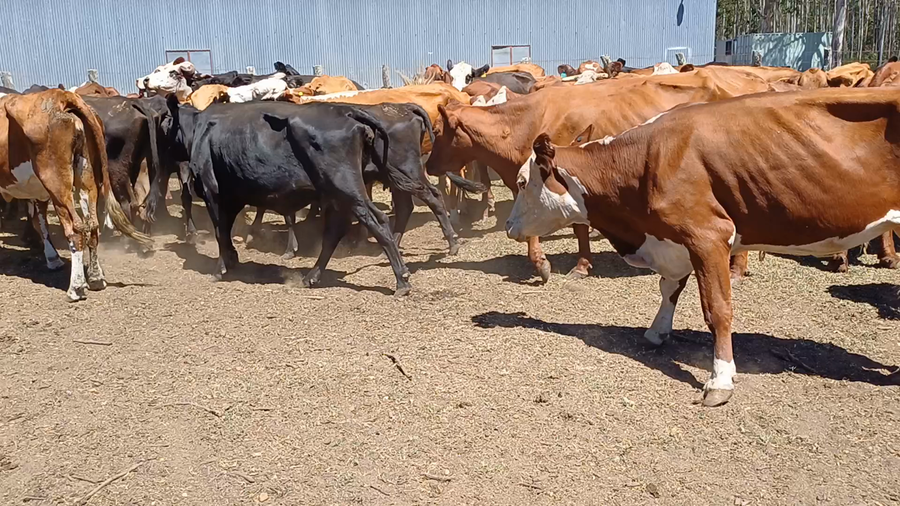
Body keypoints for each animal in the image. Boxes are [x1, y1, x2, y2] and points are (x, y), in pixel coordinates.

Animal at [0, 90, 152, 300]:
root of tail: (63, 96)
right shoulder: (37, 192)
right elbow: (40, 222)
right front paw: (52, 258)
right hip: (87, 176)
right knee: (93, 225)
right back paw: (96, 277)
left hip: (57, 182)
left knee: (76, 229)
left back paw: (76, 287)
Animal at [160, 98, 412, 295]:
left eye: (166, 122)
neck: (201, 131)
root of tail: (346, 111)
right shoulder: (232, 197)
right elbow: (226, 230)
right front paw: (232, 258)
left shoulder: (212, 191)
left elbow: (220, 231)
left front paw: (220, 269)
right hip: (336, 194)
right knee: (334, 231)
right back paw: (311, 276)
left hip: (346, 188)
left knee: (377, 221)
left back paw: (402, 280)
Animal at [426, 69, 772, 282]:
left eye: (439, 130)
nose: (428, 166)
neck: (522, 124)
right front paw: (576, 263)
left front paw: (546, 264)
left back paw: (736, 271)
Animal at [505, 87, 900, 406]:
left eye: (522, 182)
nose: (508, 226)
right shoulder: (676, 240)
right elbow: (669, 288)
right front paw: (657, 331)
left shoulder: (708, 235)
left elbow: (717, 309)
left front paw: (720, 379)